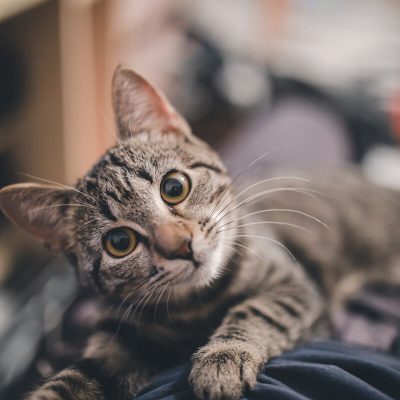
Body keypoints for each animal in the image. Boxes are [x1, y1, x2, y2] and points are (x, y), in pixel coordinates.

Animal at [0, 67, 400, 398]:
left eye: (173, 187)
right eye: (119, 242)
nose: (180, 246)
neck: (197, 304)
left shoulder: (294, 285)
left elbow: (258, 309)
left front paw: (223, 357)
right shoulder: (119, 340)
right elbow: (74, 379)